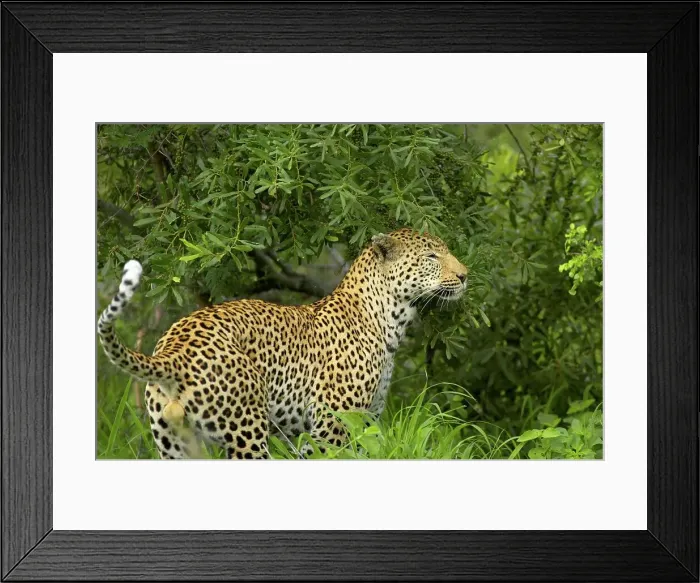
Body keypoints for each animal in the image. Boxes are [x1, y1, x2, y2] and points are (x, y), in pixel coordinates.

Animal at [97, 228, 469, 459]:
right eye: (432, 256)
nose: (465, 275)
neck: (391, 319)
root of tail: (173, 350)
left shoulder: (362, 422)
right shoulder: (331, 425)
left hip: (174, 445)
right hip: (246, 432)